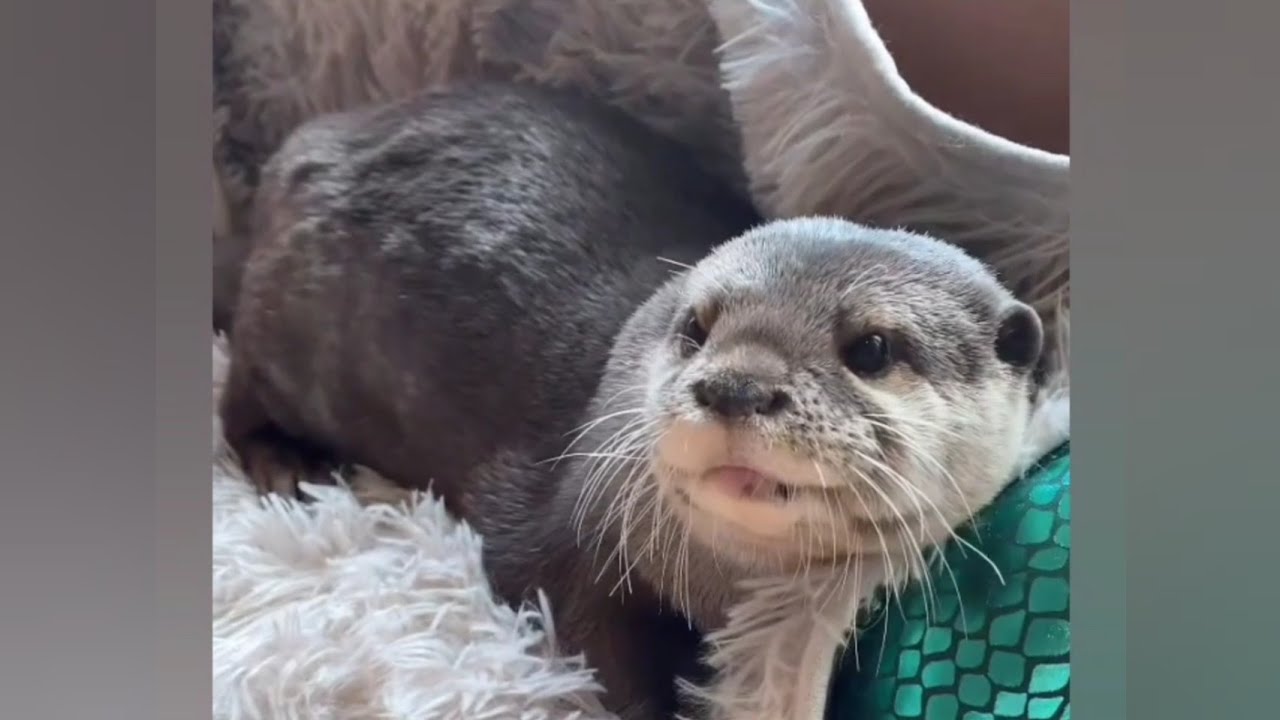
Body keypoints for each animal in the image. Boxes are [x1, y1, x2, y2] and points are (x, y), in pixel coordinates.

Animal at [218, 83, 1043, 720]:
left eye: (871, 348)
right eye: (697, 327)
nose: (734, 386)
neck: (715, 587)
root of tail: (309, 144)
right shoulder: (561, 526)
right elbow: (579, 620)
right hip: (290, 322)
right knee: (240, 388)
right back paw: (288, 462)